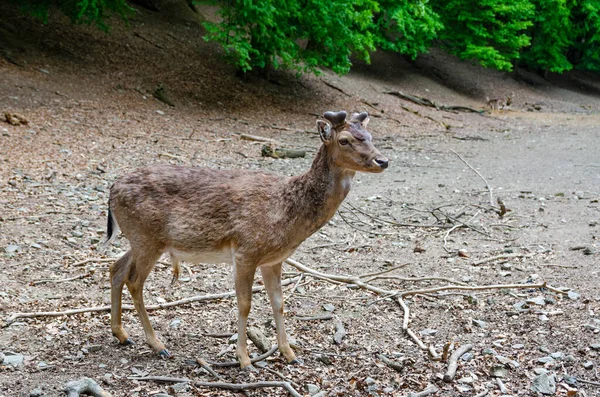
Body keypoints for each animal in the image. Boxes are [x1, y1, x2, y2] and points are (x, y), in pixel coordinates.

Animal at [105, 109, 392, 368]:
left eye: (370, 136)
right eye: (344, 140)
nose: (383, 161)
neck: (288, 214)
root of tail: (112, 190)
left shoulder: (273, 260)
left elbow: (279, 303)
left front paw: (290, 354)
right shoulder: (246, 250)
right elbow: (245, 304)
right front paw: (244, 360)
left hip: (140, 239)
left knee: (116, 268)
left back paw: (122, 334)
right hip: (147, 237)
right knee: (134, 281)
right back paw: (158, 345)